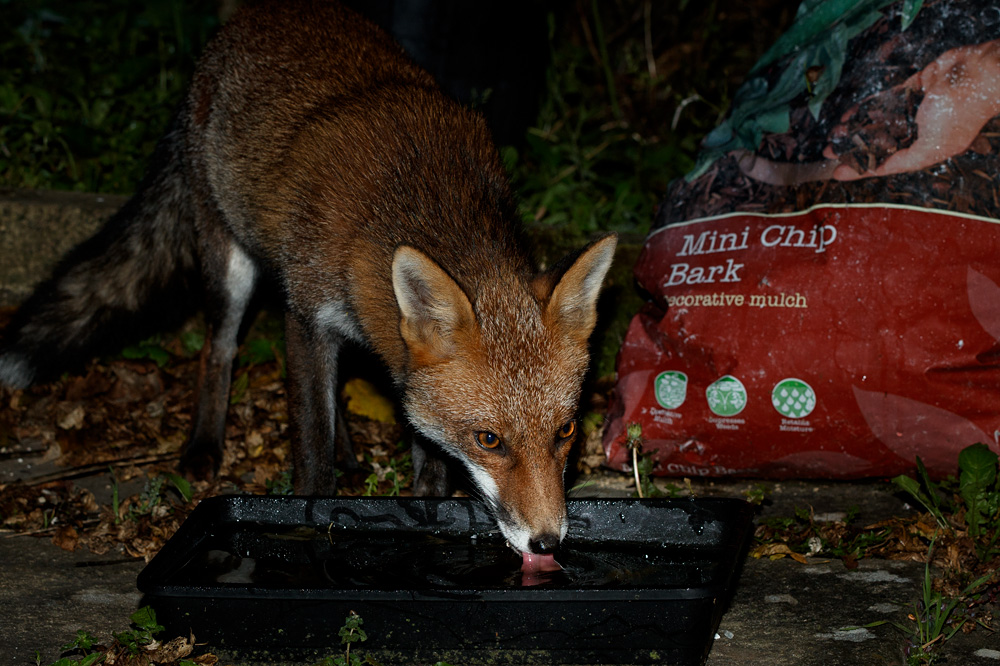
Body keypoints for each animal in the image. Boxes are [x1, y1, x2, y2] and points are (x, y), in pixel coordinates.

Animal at [0, 0, 616, 555]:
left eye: (565, 432)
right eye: (489, 440)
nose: (547, 542)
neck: (422, 197)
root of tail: (261, 11)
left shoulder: (392, 357)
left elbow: (426, 454)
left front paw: (425, 505)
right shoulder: (307, 320)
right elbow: (311, 445)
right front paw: (312, 518)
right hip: (231, 266)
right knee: (218, 350)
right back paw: (205, 444)